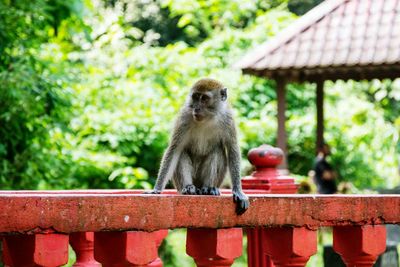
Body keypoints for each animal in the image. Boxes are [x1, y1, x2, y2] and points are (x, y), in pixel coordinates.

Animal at [148, 78, 248, 216]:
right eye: (195, 97)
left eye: (204, 98)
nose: (196, 108)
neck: (207, 119)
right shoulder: (184, 117)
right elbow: (174, 149)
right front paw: (157, 189)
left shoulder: (228, 119)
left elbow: (233, 150)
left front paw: (238, 191)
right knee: (182, 152)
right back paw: (189, 188)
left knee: (217, 151)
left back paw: (209, 188)